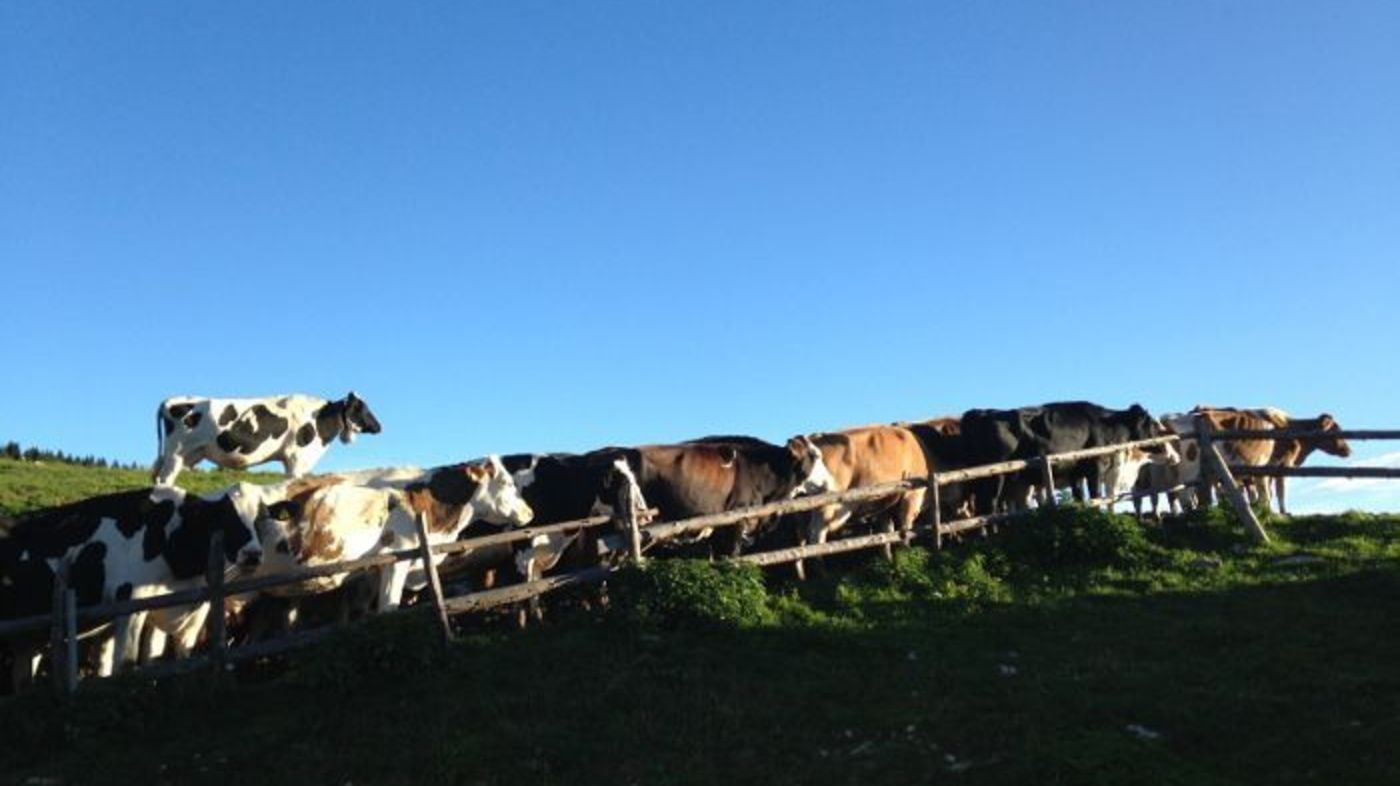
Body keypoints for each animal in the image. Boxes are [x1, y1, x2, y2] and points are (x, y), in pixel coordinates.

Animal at [0, 483, 276, 691]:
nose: (253, 554)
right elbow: (126, 663)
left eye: (261, 519)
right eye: (225, 517)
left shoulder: (172, 609)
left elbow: (158, 659)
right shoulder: (130, 602)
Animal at [153, 392, 382, 485]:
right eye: (363, 408)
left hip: (186, 455)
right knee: (164, 480)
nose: (379, 426)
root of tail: (171, 400)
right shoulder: (295, 459)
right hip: (175, 454)